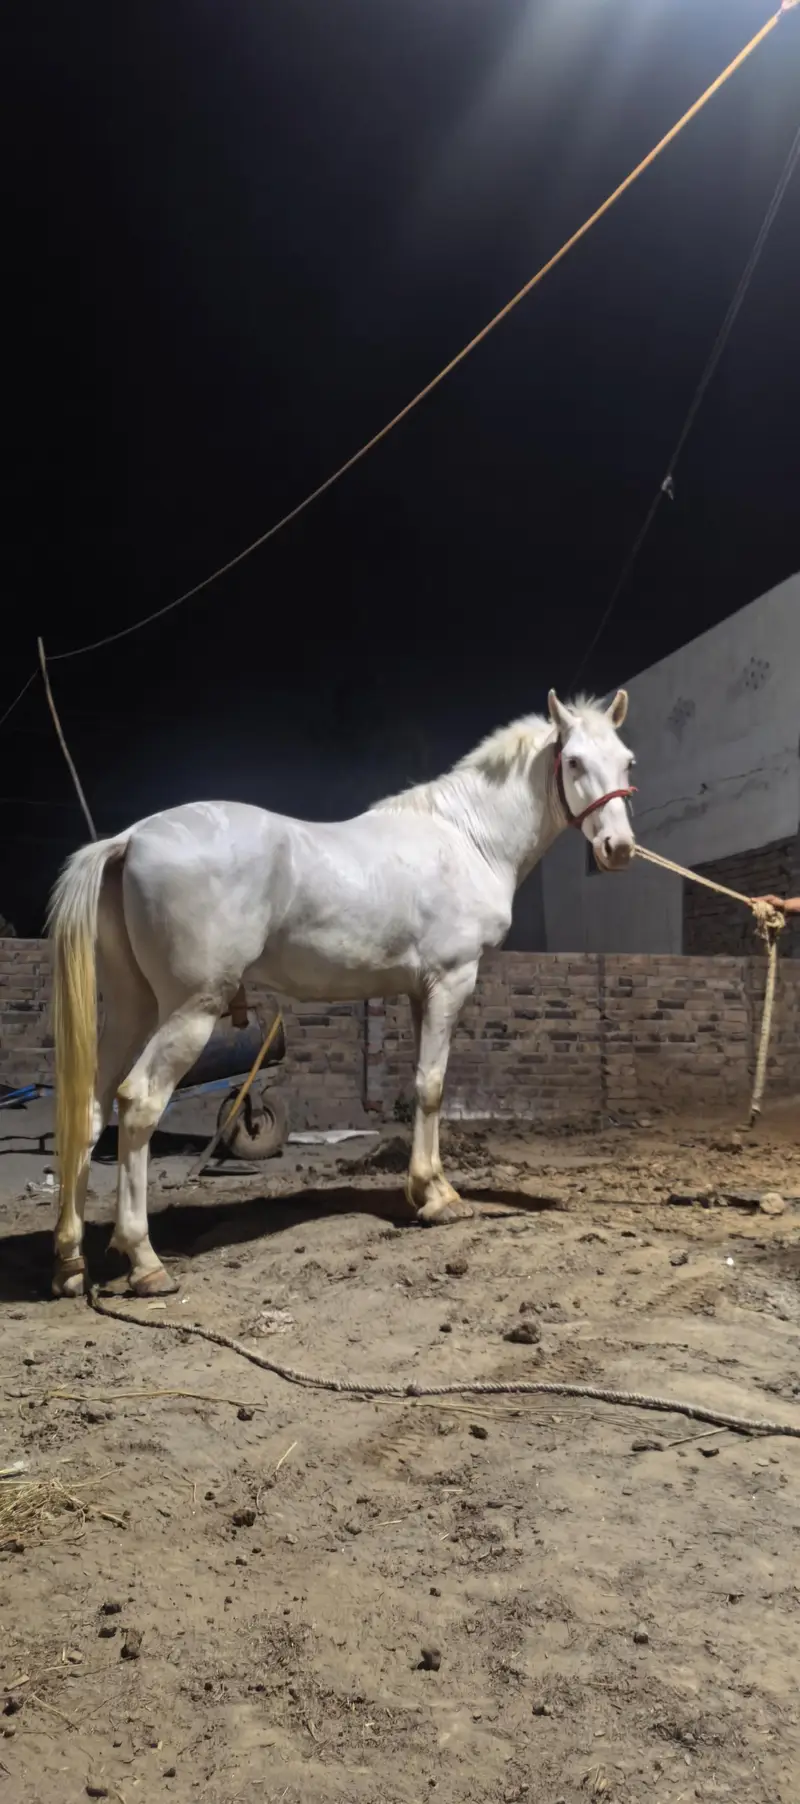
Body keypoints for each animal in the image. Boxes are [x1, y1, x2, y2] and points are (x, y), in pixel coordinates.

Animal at [48, 688, 635, 1299]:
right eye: (574, 762)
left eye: (627, 762)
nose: (618, 848)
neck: (467, 837)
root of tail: (130, 839)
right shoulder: (451, 981)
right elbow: (432, 1087)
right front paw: (439, 1199)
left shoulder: (421, 992)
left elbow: (422, 1085)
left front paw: (427, 1188)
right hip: (189, 1010)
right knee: (138, 1103)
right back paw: (143, 1260)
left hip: (131, 1007)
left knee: (89, 1109)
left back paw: (70, 1263)